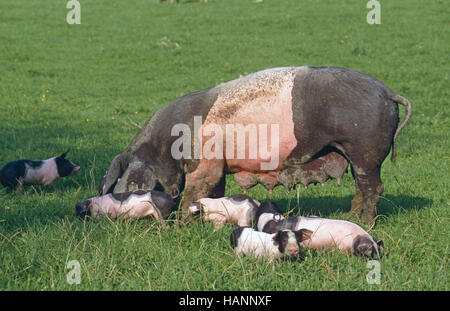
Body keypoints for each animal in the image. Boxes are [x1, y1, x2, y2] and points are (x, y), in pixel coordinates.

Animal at [98, 67, 412, 225]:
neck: (166, 147)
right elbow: (214, 193)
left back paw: (366, 225)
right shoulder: (218, 167)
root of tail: (387, 92)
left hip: (364, 150)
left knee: (373, 187)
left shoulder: (204, 165)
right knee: (361, 186)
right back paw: (350, 217)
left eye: (124, 187)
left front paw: (181, 227)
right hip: (355, 154)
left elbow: (193, 194)